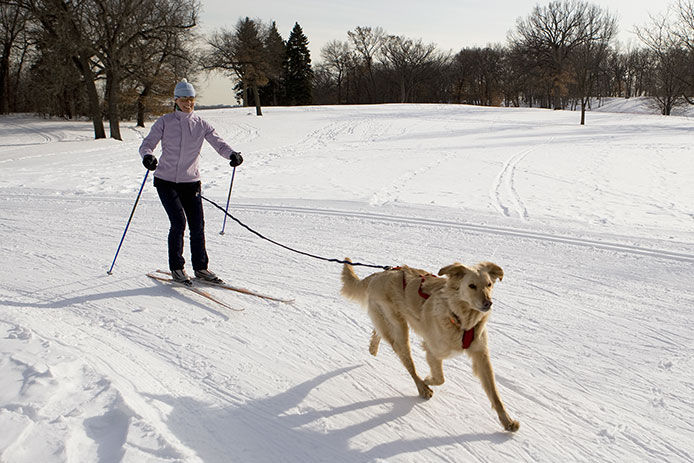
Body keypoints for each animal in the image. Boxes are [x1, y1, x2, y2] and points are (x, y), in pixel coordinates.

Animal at [342, 260, 520, 434]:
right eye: (471, 286)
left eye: (489, 284)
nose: (488, 303)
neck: (460, 318)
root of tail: (379, 274)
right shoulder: (433, 351)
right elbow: (440, 378)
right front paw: (427, 379)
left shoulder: (481, 356)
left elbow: (494, 394)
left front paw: (507, 421)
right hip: (399, 330)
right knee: (408, 364)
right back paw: (422, 387)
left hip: (388, 324)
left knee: (379, 332)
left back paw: (373, 346)